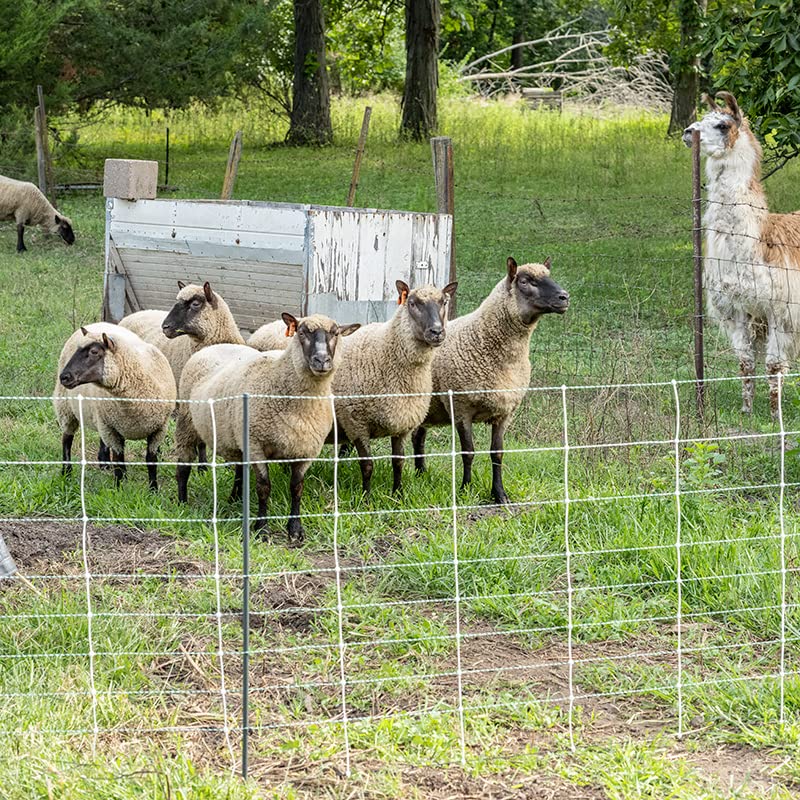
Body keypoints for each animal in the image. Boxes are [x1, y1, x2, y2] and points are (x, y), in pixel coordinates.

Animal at [54, 323, 176, 490]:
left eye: (94, 352)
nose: (64, 377)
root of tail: (96, 324)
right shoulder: (111, 428)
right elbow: (118, 459)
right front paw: (119, 489)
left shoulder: (158, 428)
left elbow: (151, 460)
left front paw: (153, 489)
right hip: (66, 407)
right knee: (67, 439)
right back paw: (66, 472)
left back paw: (105, 464)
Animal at [175, 313, 360, 544]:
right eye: (301, 332)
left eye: (335, 333)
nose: (322, 360)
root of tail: (214, 346)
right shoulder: (256, 446)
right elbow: (264, 487)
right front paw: (261, 529)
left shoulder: (306, 449)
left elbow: (296, 488)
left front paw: (295, 529)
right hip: (186, 421)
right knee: (184, 464)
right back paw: (182, 503)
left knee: (239, 468)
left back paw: (235, 498)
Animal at [332, 280, 457, 496]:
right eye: (412, 303)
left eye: (444, 302)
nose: (437, 332)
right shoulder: (357, 423)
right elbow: (367, 465)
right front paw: (366, 498)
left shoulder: (402, 423)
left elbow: (398, 462)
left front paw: (398, 495)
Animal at [412, 257, 569, 504]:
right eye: (525, 281)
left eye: (548, 275)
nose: (564, 297)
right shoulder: (462, 408)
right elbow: (468, 452)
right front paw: (466, 489)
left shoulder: (505, 412)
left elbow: (497, 453)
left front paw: (500, 494)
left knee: (419, 437)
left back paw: (421, 474)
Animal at [683, 92, 800, 416]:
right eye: (700, 119)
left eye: (722, 125)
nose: (687, 132)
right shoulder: (739, 308)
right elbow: (745, 362)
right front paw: (747, 410)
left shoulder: (780, 309)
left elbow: (773, 366)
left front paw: (775, 415)